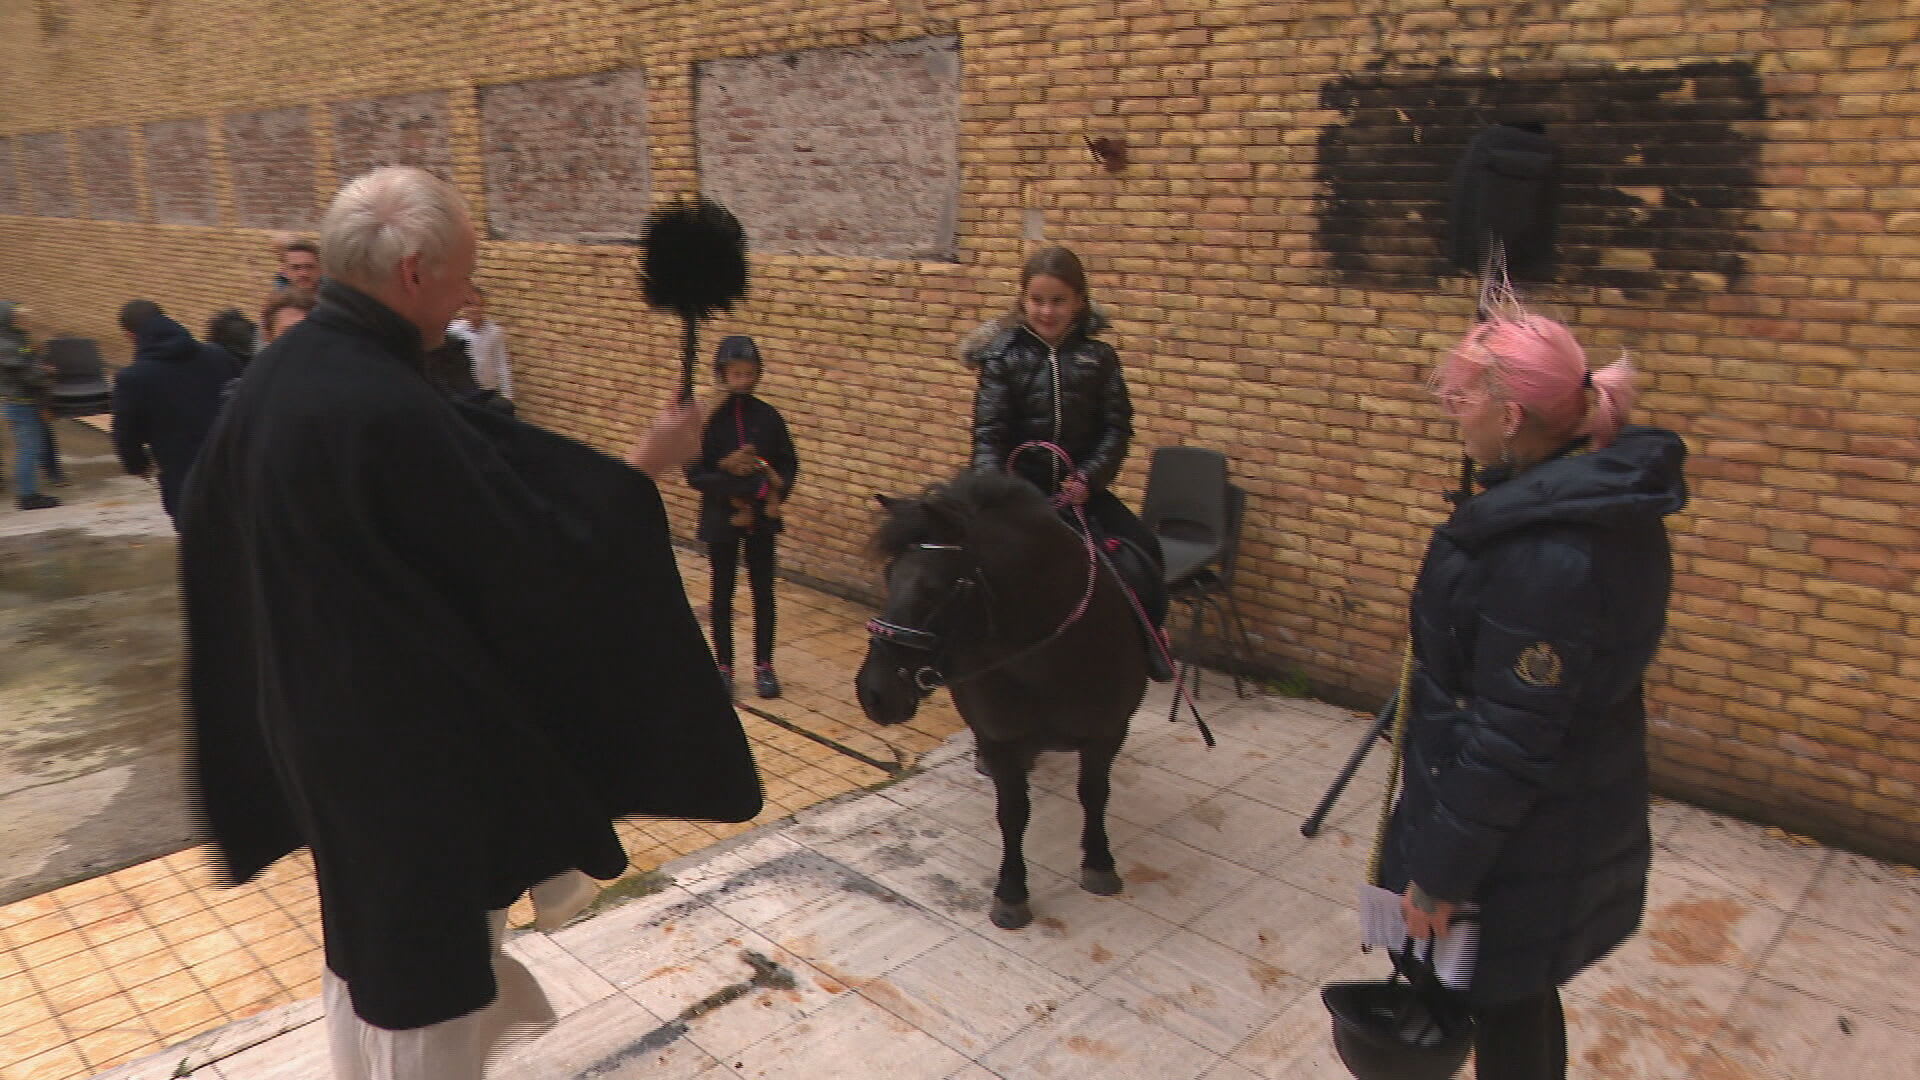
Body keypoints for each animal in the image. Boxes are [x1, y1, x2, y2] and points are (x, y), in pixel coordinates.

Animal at [852, 470, 1136, 926]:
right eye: (888, 575)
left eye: (933, 589)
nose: (873, 693)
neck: (1049, 662)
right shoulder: (1002, 739)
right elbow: (1013, 813)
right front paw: (1012, 892)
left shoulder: (1109, 731)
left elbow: (1094, 794)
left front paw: (1098, 863)